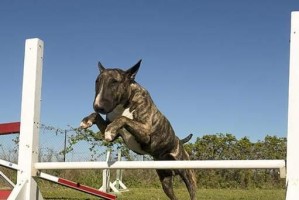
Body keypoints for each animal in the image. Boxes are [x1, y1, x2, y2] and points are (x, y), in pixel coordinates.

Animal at [80, 60, 197, 199]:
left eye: (114, 81)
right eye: (97, 81)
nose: (98, 106)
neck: (123, 105)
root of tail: (179, 141)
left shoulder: (146, 133)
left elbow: (123, 119)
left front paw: (111, 129)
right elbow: (98, 116)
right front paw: (86, 121)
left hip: (187, 173)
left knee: (192, 190)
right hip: (166, 182)